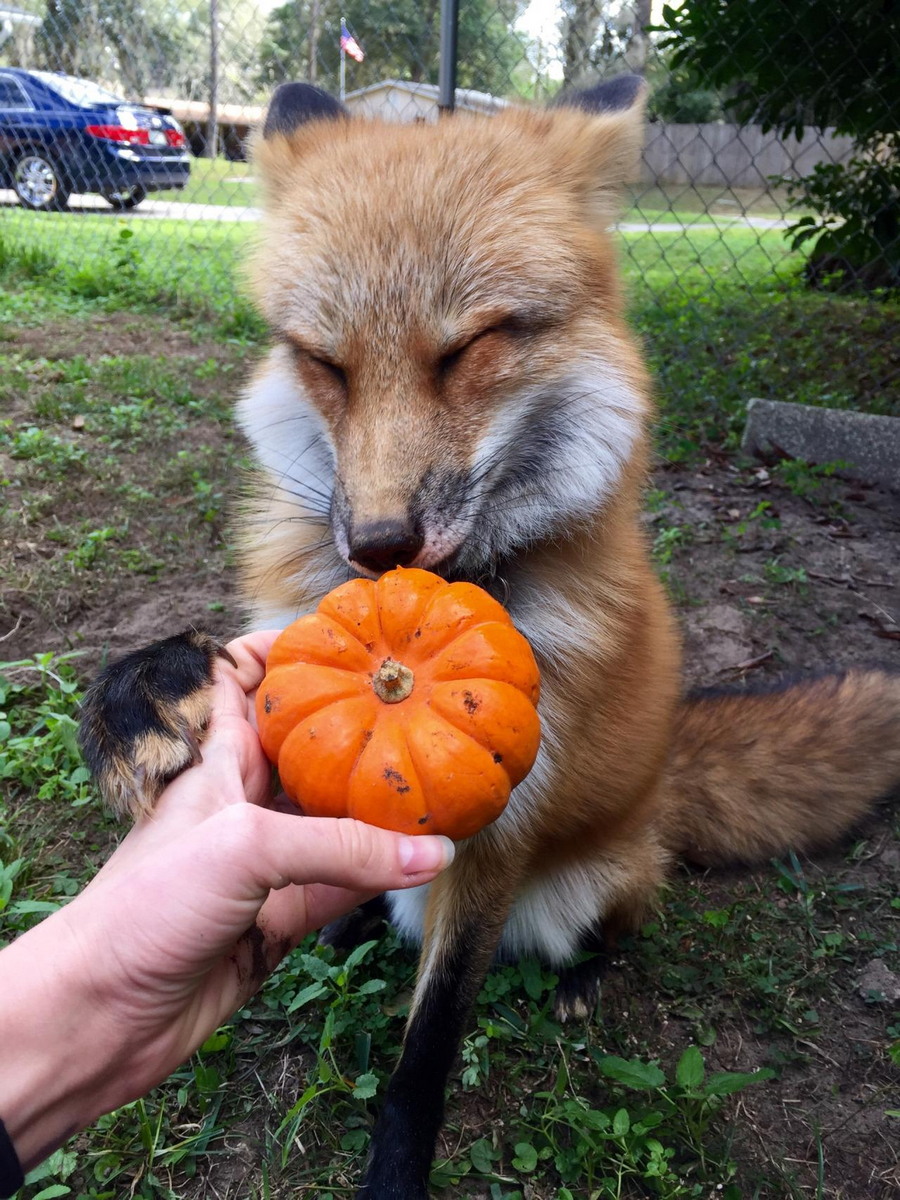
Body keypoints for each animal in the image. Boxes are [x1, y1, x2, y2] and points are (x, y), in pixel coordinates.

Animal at [81, 79, 900, 1195]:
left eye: (465, 349)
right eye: (324, 363)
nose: (379, 546)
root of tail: (659, 785)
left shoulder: (499, 834)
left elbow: (425, 1049)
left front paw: (396, 1169)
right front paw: (141, 696)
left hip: (592, 887)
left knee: (613, 924)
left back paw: (584, 977)